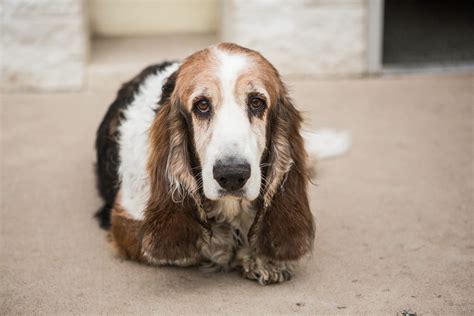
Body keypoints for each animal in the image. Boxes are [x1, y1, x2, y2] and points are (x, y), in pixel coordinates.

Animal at [96, 42, 348, 284]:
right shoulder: (124, 220)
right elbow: (203, 245)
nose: (232, 175)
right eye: (202, 105)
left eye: (256, 103)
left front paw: (264, 260)